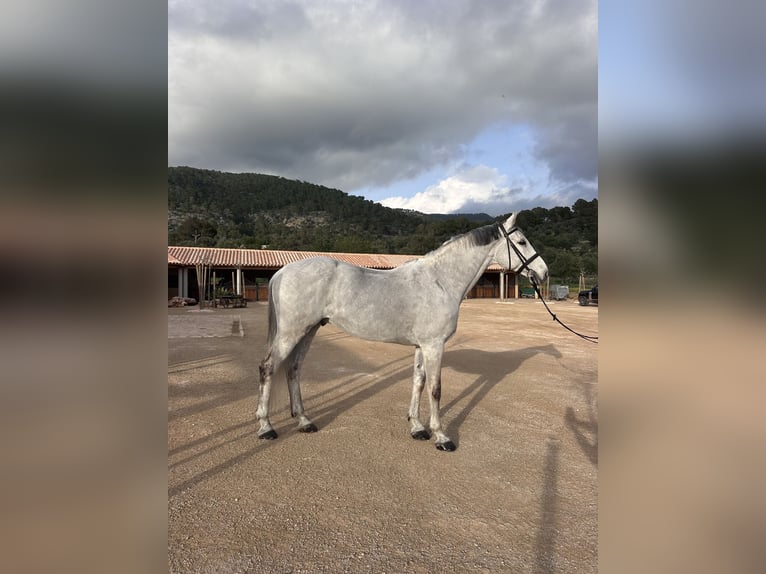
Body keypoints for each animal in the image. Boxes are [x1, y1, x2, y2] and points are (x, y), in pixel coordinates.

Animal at [256, 212, 548, 451]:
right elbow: (435, 389)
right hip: (291, 333)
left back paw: (304, 421)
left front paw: (417, 428)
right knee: (269, 367)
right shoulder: (434, 346)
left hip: (308, 331)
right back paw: (265, 427)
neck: (440, 281)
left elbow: (418, 382)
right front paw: (441, 437)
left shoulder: (422, 346)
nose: (544, 272)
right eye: (522, 242)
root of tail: (282, 271)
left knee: (293, 369)